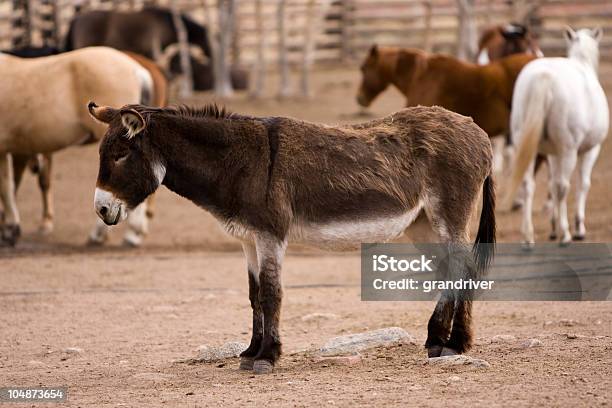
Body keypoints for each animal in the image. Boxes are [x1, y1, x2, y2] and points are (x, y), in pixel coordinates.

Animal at [87, 101, 498, 372]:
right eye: (102, 154)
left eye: (121, 154)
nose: (101, 210)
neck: (239, 161)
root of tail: (476, 128)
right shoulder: (248, 238)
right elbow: (254, 295)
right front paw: (250, 352)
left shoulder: (270, 235)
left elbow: (272, 293)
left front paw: (268, 357)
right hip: (422, 222)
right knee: (450, 270)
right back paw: (441, 342)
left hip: (449, 213)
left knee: (464, 269)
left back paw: (452, 344)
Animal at [506, 27, 608, 245]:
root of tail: (543, 77)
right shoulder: (591, 150)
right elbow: (582, 184)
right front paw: (578, 228)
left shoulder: (552, 154)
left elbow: (551, 185)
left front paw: (553, 227)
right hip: (569, 151)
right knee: (563, 186)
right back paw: (566, 233)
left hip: (527, 147)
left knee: (529, 185)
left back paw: (528, 236)